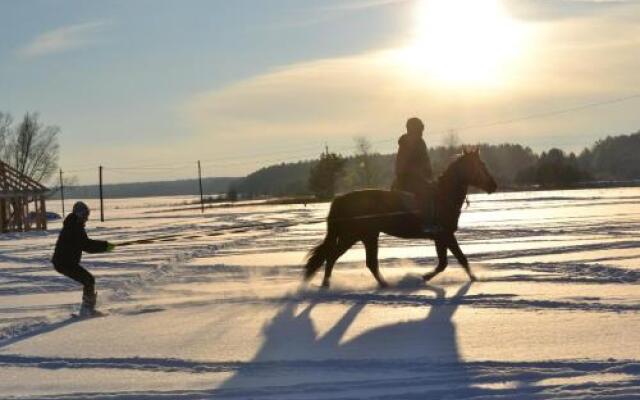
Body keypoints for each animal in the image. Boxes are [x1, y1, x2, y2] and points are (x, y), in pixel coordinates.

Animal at [304, 148, 500, 288]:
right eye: (480, 165)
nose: (493, 185)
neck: (443, 196)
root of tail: (341, 199)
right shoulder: (445, 235)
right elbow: (452, 261)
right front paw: (425, 277)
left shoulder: (442, 237)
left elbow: (452, 261)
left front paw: (472, 279)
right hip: (353, 236)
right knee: (333, 257)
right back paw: (326, 285)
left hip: (367, 235)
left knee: (366, 262)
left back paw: (382, 284)